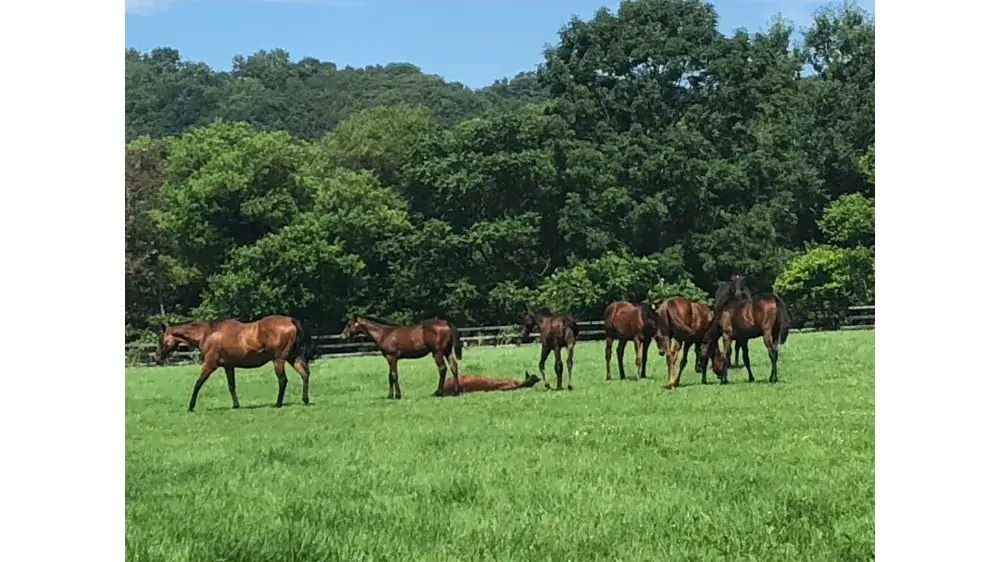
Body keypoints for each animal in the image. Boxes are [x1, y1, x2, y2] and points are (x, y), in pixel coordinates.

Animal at [156, 316, 314, 412]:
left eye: (160, 339)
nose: (158, 358)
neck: (208, 333)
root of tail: (291, 321)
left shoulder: (209, 365)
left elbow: (198, 384)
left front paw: (190, 406)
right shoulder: (228, 366)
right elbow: (231, 386)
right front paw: (236, 405)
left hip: (279, 360)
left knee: (283, 380)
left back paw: (278, 403)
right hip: (293, 358)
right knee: (304, 374)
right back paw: (305, 399)